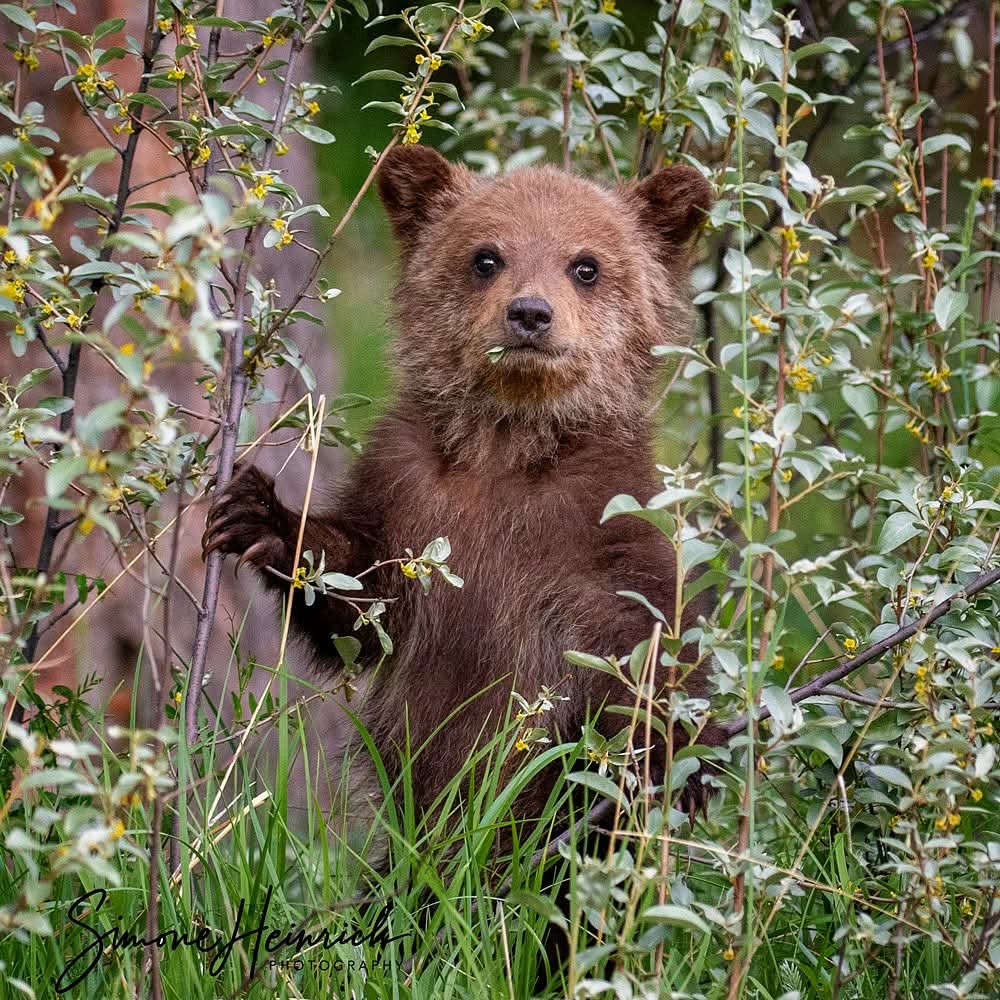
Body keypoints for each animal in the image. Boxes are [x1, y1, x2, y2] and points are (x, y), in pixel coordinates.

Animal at [201, 145, 715, 859]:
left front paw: (671, 766)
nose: (529, 313)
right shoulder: (409, 494)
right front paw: (260, 514)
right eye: (486, 256)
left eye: (586, 265)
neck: (508, 448)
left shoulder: (606, 520)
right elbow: (358, 597)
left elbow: (651, 641)